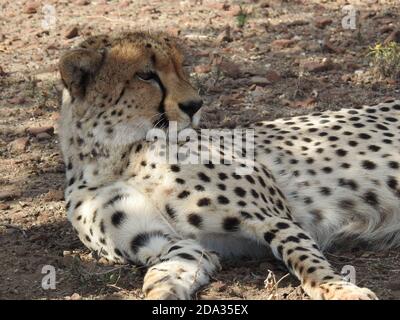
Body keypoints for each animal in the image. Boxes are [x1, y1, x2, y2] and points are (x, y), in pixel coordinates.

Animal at [58, 31, 400, 298]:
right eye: (146, 75)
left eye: (182, 67)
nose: (195, 105)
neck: (114, 157)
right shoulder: (174, 245)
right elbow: (161, 278)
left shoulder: (273, 216)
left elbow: (306, 260)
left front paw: (341, 290)